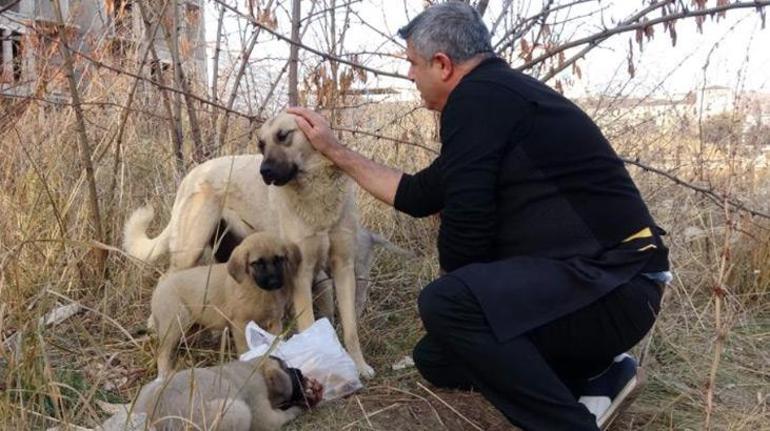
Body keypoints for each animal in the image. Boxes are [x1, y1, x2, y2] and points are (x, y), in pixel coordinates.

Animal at [134, 356, 320, 431]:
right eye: (286, 368)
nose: (300, 372)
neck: (254, 367)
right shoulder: (261, 410)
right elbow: (281, 416)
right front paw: (298, 409)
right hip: (239, 411)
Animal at [149, 233, 300, 378]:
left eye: (279, 259)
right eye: (257, 263)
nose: (274, 282)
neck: (258, 290)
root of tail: (159, 288)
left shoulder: (274, 322)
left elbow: (274, 342)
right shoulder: (240, 324)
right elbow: (244, 348)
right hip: (176, 322)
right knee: (162, 353)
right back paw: (165, 375)